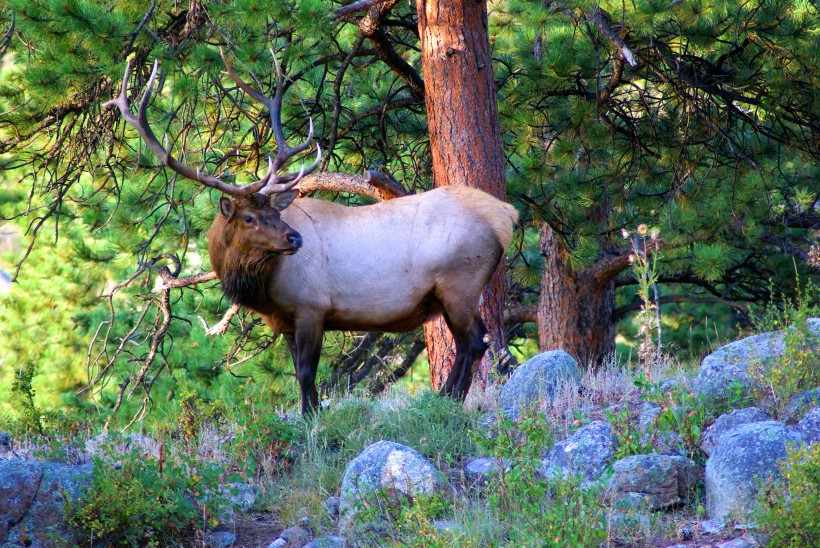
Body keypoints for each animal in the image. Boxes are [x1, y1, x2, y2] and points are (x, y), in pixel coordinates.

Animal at [105, 53, 516, 414]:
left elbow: (306, 373)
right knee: (471, 343)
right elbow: (299, 374)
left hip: (460, 282)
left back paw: (450, 400)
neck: (264, 288)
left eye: (273, 211)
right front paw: (312, 414)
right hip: (450, 292)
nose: (295, 239)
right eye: (250, 217)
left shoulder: (312, 307)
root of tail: (506, 215)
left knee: (474, 342)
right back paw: (444, 398)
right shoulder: (285, 321)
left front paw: (310, 420)